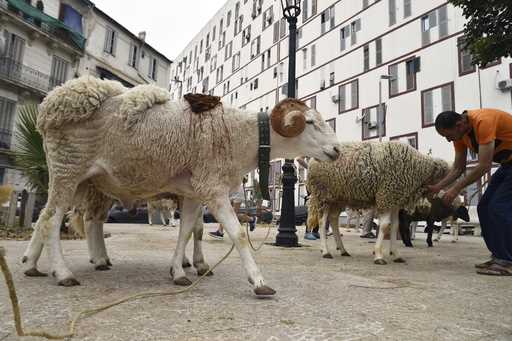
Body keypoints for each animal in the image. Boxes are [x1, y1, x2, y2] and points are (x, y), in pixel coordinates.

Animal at [21, 75, 340, 294]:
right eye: (310, 123)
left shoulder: (195, 191)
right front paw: (258, 281)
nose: (337, 150)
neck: (242, 136)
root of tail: (50, 105)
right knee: (52, 220)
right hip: (67, 168)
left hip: (82, 179)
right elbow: (237, 234)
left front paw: (179, 271)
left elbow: (187, 231)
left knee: (52, 218)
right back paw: (63, 273)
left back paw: (36, 264)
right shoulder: (213, 188)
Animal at [304, 141, 448, 262]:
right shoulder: (386, 196)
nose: (445, 197)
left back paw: (343, 250)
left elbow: (394, 226)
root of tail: (311, 161)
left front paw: (396, 254)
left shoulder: (394, 200)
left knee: (334, 220)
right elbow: (384, 226)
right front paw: (378, 255)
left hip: (337, 198)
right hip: (323, 196)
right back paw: (326, 251)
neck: (416, 168)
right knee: (322, 222)